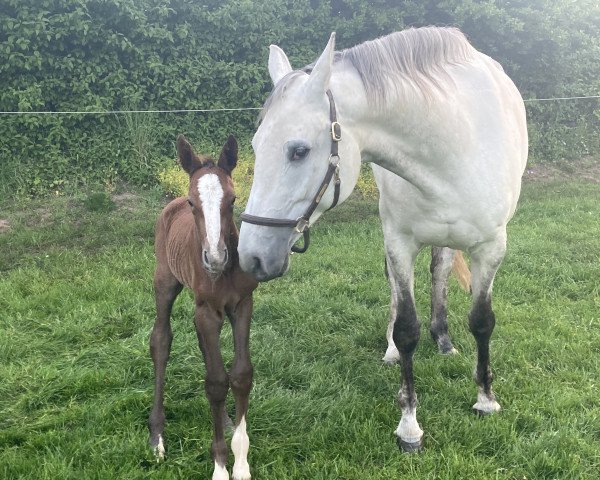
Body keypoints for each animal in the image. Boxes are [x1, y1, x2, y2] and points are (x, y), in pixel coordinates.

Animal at [237, 28, 528, 452]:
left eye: (298, 151)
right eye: (257, 147)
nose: (250, 256)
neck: (452, 146)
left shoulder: (491, 248)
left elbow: (482, 321)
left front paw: (486, 399)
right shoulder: (399, 243)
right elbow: (406, 327)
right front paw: (409, 425)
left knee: (440, 270)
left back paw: (443, 339)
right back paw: (394, 349)